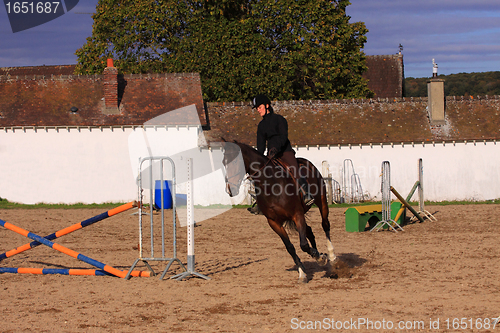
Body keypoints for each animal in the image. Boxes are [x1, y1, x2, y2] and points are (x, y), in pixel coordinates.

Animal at [222, 139, 336, 282]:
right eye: (223, 162)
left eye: (235, 161)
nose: (229, 190)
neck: (271, 185)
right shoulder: (274, 222)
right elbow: (290, 247)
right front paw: (302, 272)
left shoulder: (297, 215)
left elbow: (303, 244)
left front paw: (320, 257)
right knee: (309, 230)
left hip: (321, 201)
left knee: (325, 225)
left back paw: (331, 256)